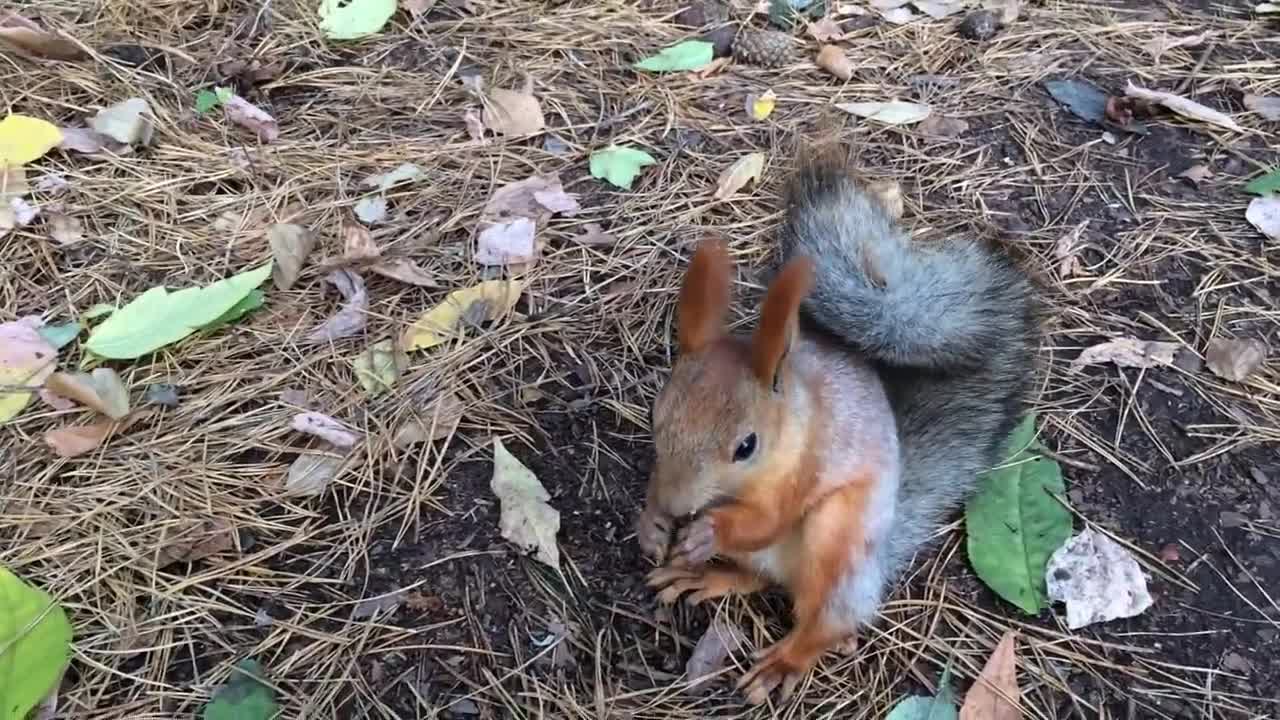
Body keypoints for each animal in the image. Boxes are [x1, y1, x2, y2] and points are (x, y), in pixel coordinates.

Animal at [632, 144, 1039, 702]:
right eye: (658, 414)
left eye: (746, 446)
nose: (677, 508)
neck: (794, 423)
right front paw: (653, 522)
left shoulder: (807, 467)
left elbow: (764, 521)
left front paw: (708, 530)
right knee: (763, 579)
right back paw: (705, 577)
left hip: (837, 538)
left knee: (828, 621)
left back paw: (785, 659)